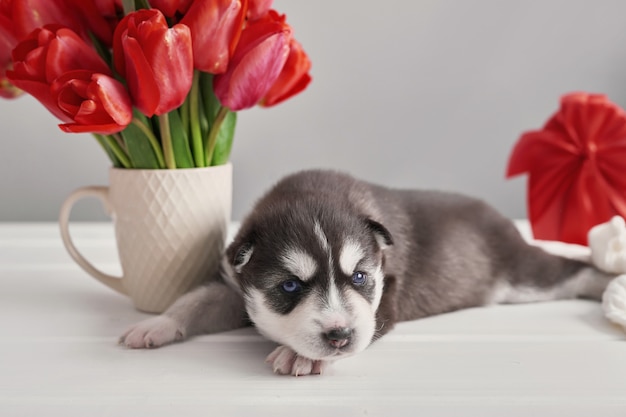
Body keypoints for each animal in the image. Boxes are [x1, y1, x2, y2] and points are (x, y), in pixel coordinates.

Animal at [119, 168, 612, 374]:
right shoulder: (233, 285)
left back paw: (609, 282)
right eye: (290, 285)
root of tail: (500, 218)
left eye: (359, 278)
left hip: (525, 276)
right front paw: (156, 325)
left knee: (575, 268)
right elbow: (196, 300)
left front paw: (303, 356)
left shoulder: (386, 292)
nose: (338, 336)